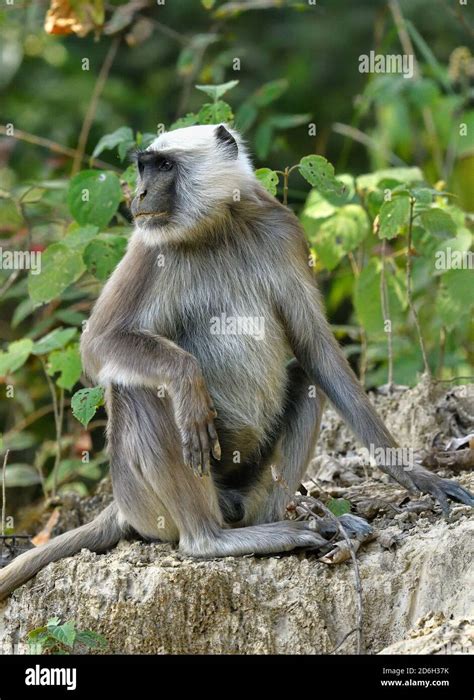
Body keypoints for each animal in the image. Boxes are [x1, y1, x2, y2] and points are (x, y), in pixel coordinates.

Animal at [1, 123, 472, 600]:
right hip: (147, 505)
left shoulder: (283, 230)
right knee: (142, 390)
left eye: (163, 166)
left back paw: (290, 526)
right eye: (144, 166)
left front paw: (414, 475)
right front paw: (187, 379)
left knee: (305, 380)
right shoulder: (147, 244)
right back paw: (212, 540)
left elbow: (316, 350)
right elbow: (98, 343)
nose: (141, 193)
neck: (216, 226)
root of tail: (120, 505)